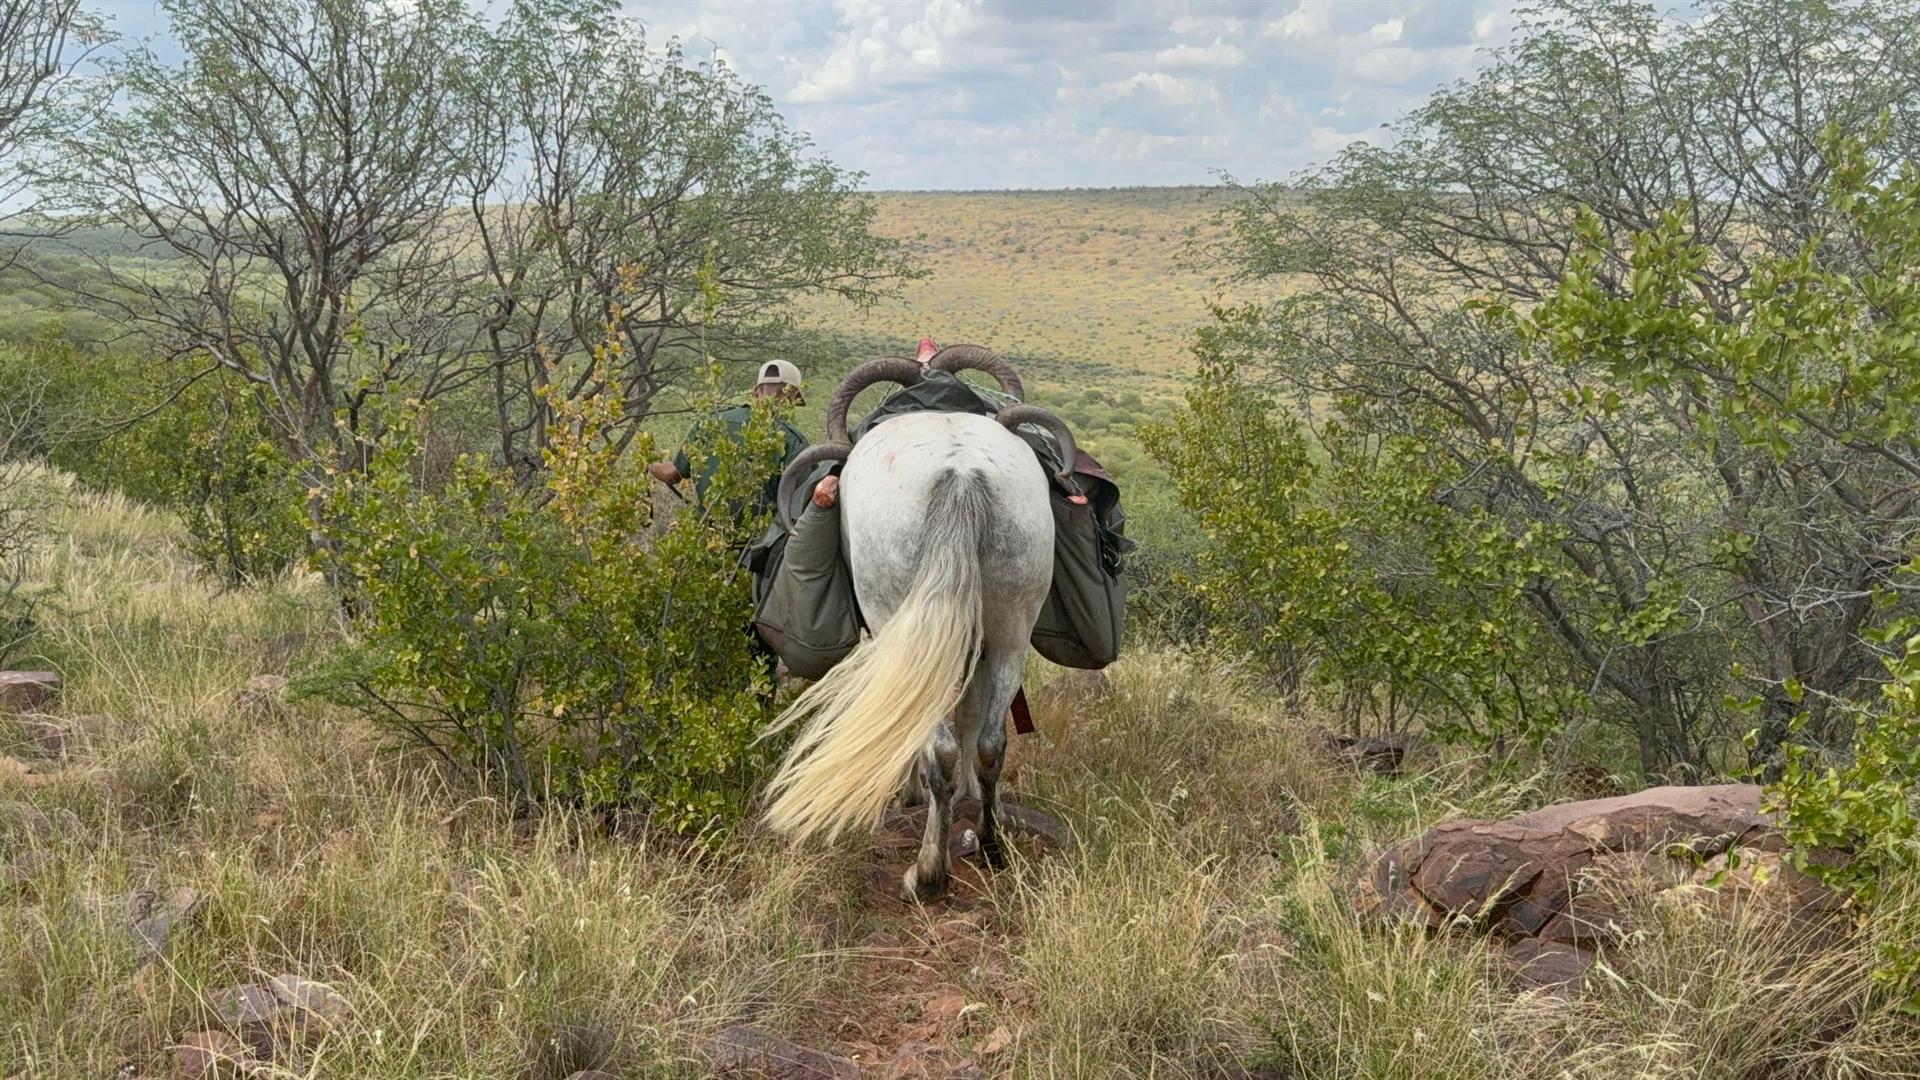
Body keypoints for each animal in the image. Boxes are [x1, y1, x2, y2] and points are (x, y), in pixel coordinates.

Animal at [761, 349, 1079, 900]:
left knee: (938, 746)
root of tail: (961, 475)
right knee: (991, 743)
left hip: (900, 619)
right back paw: (990, 845)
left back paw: (928, 871)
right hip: (1011, 628)